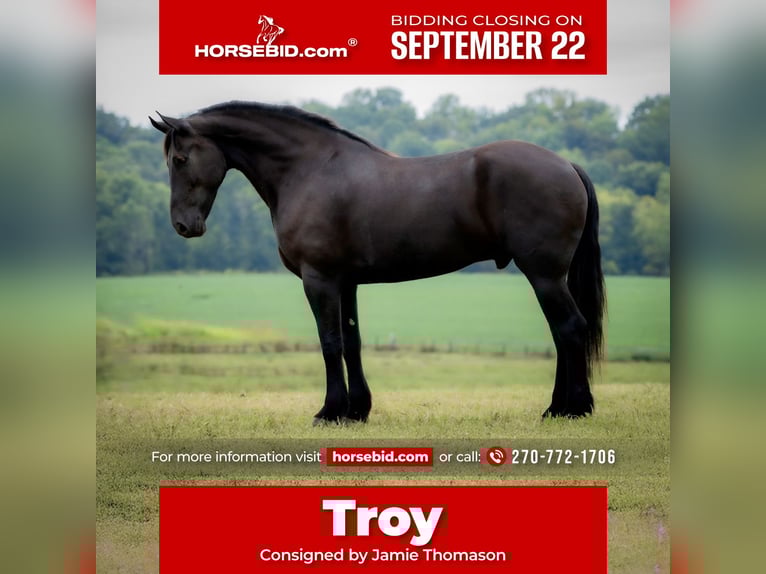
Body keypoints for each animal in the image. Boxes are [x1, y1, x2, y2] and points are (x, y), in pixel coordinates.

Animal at [150, 101, 605, 424]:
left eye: (180, 159)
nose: (183, 225)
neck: (310, 170)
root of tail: (566, 165)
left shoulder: (319, 280)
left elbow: (329, 342)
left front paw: (330, 411)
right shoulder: (345, 282)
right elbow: (352, 342)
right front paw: (357, 411)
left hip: (544, 274)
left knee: (570, 328)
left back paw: (572, 408)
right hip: (549, 276)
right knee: (562, 333)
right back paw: (558, 407)